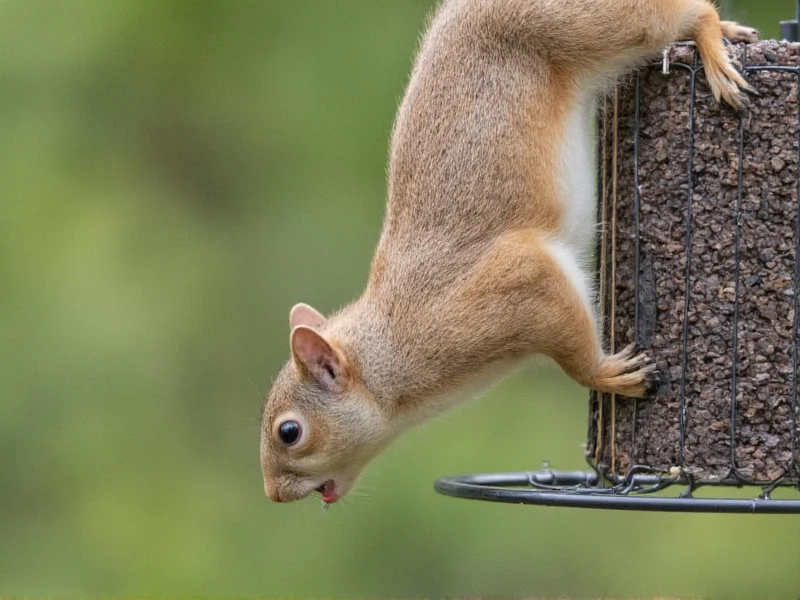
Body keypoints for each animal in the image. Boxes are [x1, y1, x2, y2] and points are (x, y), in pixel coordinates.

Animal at [260, 0, 758, 504]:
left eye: (289, 432)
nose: (274, 494)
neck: (391, 352)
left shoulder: (514, 286)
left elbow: (569, 346)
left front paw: (603, 374)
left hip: (592, 25)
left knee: (684, 14)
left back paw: (714, 47)